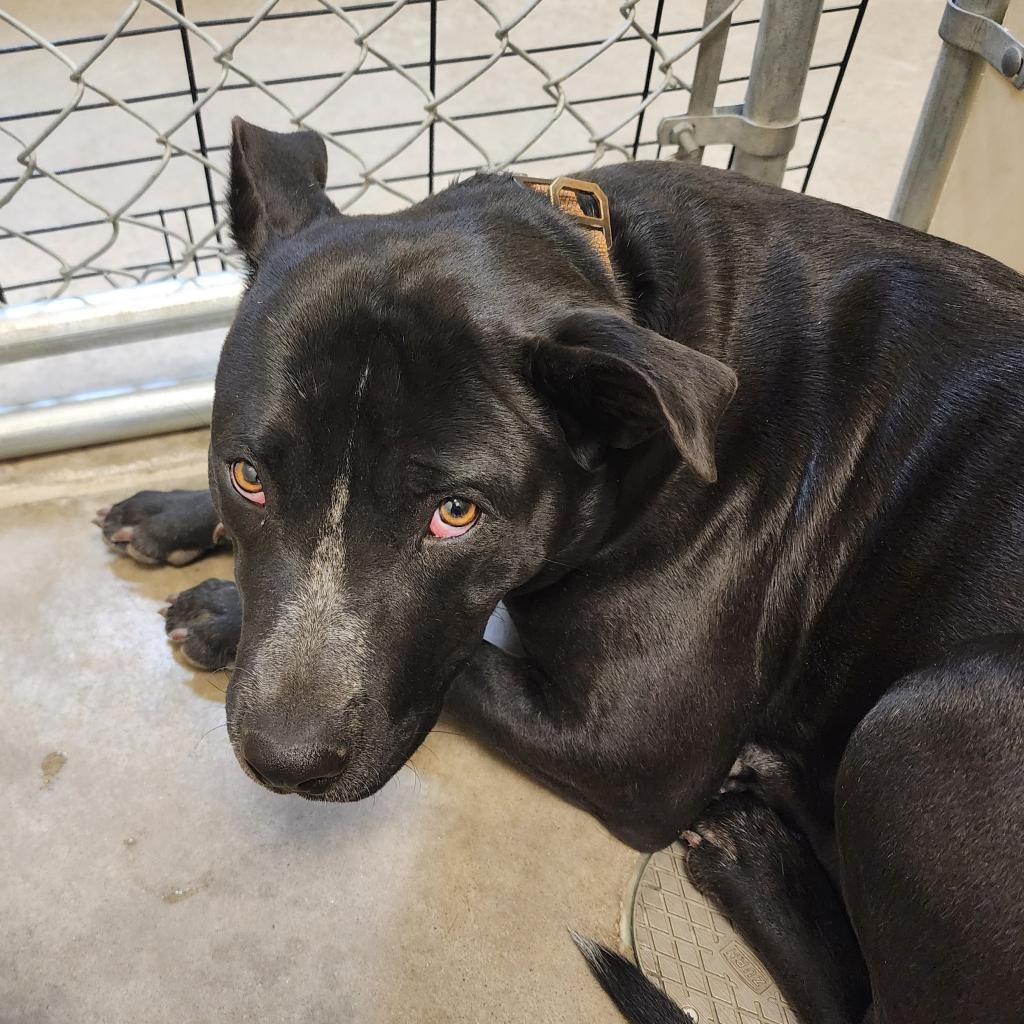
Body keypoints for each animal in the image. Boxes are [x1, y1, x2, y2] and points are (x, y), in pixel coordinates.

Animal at [97, 119, 1024, 1024]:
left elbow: (468, 662)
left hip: (929, 714)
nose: (285, 763)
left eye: (457, 513)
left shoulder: (633, 747)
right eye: (247, 474)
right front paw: (174, 516)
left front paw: (222, 612)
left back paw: (752, 861)